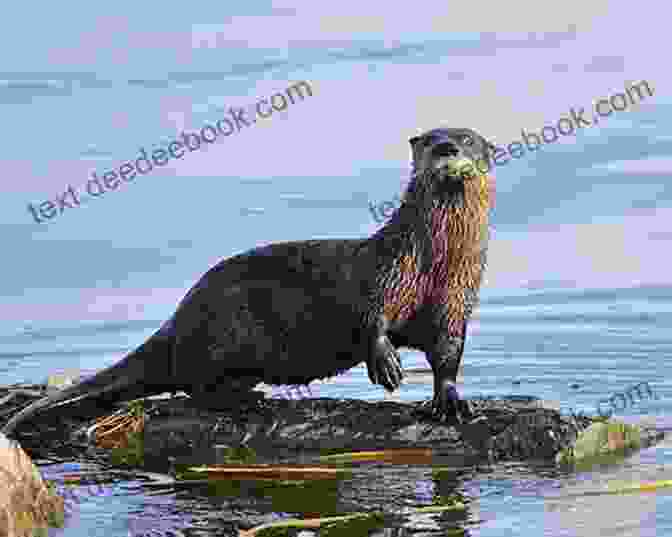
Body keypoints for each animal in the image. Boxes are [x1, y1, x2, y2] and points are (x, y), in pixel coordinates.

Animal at [3, 127, 494, 438]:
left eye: (467, 139)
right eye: (429, 141)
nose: (447, 147)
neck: (432, 267)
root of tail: (177, 322)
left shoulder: (455, 301)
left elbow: (447, 354)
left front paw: (450, 400)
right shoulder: (387, 273)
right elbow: (369, 315)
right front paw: (386, 364)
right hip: (224, 330)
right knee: (195, 387)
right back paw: (247, 399)